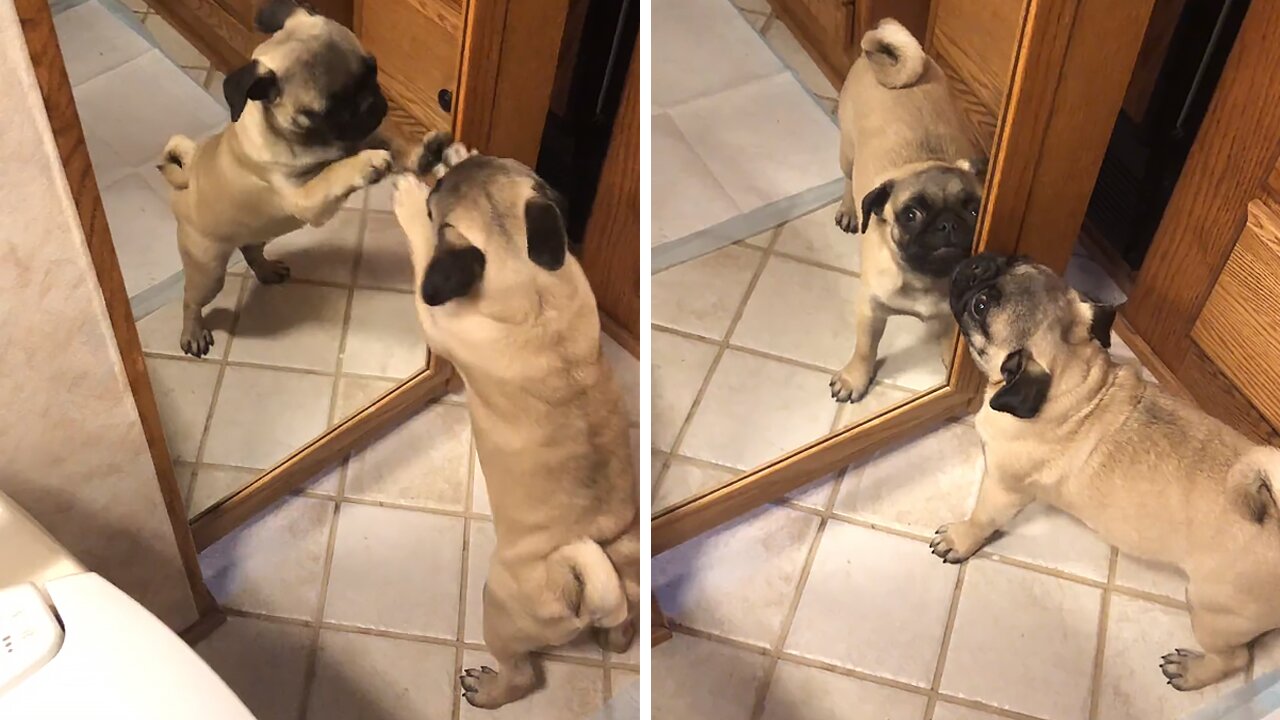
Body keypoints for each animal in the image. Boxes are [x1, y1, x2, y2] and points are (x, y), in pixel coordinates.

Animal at [160, 0, 389, 356]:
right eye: (330, 109)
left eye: (374, 69)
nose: (371, 103)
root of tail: (185, 179)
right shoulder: (307, 197)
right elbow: (334, 172)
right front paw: (368, 163)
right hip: (209, 271)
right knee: (191, 299)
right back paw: (193, 332)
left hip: (256, 231)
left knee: (251, 249)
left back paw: (267, 269)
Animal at [391, 134, 637, 707]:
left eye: (436, 201)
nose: (448, 151)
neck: (530, 286)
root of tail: (586, 590)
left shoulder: (436, 315)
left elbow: (422, 255)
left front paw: (409, 200)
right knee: (619, 633)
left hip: (496, 606)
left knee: (524, 675)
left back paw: (487, 689)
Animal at [829, 16, 988, 399]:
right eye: (911, 215)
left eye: (973, 210)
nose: (947, 224)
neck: (927, 280)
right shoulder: (871, 310)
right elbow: (865, 349)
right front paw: (855, 378)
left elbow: (953, 340)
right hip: (847, 152)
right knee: (847, 179)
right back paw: (849, 210)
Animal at [931, 252, 1280, 691]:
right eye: (1017, 259)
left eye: (981, 307)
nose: (978, 263)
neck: (1075, 386)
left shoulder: (1004, 486)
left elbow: (982, 517)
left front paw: (960, 539)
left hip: (1214, 610)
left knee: (1234, 657)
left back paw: (1191, 671)